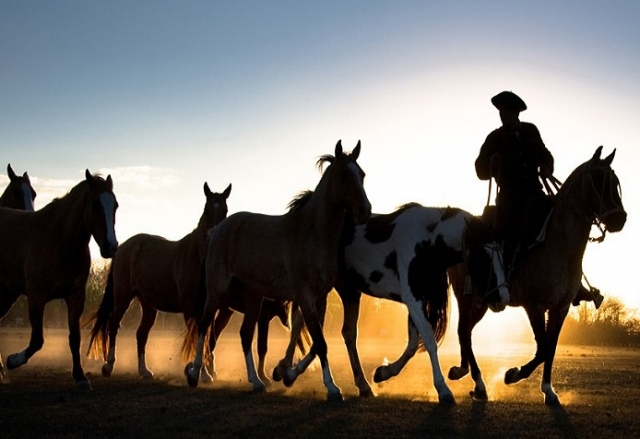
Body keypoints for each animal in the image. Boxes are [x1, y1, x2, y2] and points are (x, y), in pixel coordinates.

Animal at [0, 170, 118, 389]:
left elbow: (74, 337)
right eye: (95, 204)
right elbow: (37, 340)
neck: (60, 239)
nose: (111, 246)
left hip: (7, 294)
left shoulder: (75, 297)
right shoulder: (36, 297)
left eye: (115, 205)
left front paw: (80, 376)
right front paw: (13, 360)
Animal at [86, 182, 231, 380]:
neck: (197, 258)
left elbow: (206, 336)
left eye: (225, 210)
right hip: (123, 298)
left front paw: (203, 372)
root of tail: (123, 247)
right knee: (113, 325)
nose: (214, 235)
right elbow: (196, 337)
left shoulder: (207, 308)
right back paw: (108, 366)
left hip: (148, 305)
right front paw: (199, 372)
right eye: (207, 209)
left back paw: (144, 371)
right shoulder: (190, 308)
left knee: (141, 334)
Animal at [183, 140, 371, 401]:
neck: (311, 233)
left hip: (253, 299)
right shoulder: (305, 297)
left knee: (244, 334)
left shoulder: (320, 298)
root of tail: (218, 230)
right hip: (217, 293)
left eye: (362, 174)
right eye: (344, 174)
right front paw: (332, 388)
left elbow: (317, 342)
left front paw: (288, 373)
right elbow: (320, 342)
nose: (365, 210)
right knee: (204, 326)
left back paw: (256, 381)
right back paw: (195, 374)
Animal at [271, 204, 508, 404]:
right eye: (482, 257)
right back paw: (289, 370)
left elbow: (412, 345)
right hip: (320, 291)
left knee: (344, 333)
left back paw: (353, 383)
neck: (427, 242)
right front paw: (443, 389)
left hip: (349, 292)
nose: (502, 298)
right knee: (304, 326)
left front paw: (384, 372)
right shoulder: (413, 299)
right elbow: (429, 341)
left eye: (501, 255)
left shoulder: (417, 300)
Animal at [447, 146, 626, 405]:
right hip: (466, 295)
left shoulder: (560, 308)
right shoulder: (535, 306)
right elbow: (542, 348)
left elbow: (550, 348)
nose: (619, 219)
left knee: (466, 331)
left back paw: (463, 372)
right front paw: (513, 374)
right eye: (597, 179)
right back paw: (479, 384)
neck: (558, 245)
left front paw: (549, 390)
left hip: (484, 301)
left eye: (615, 182)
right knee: (463, 331)